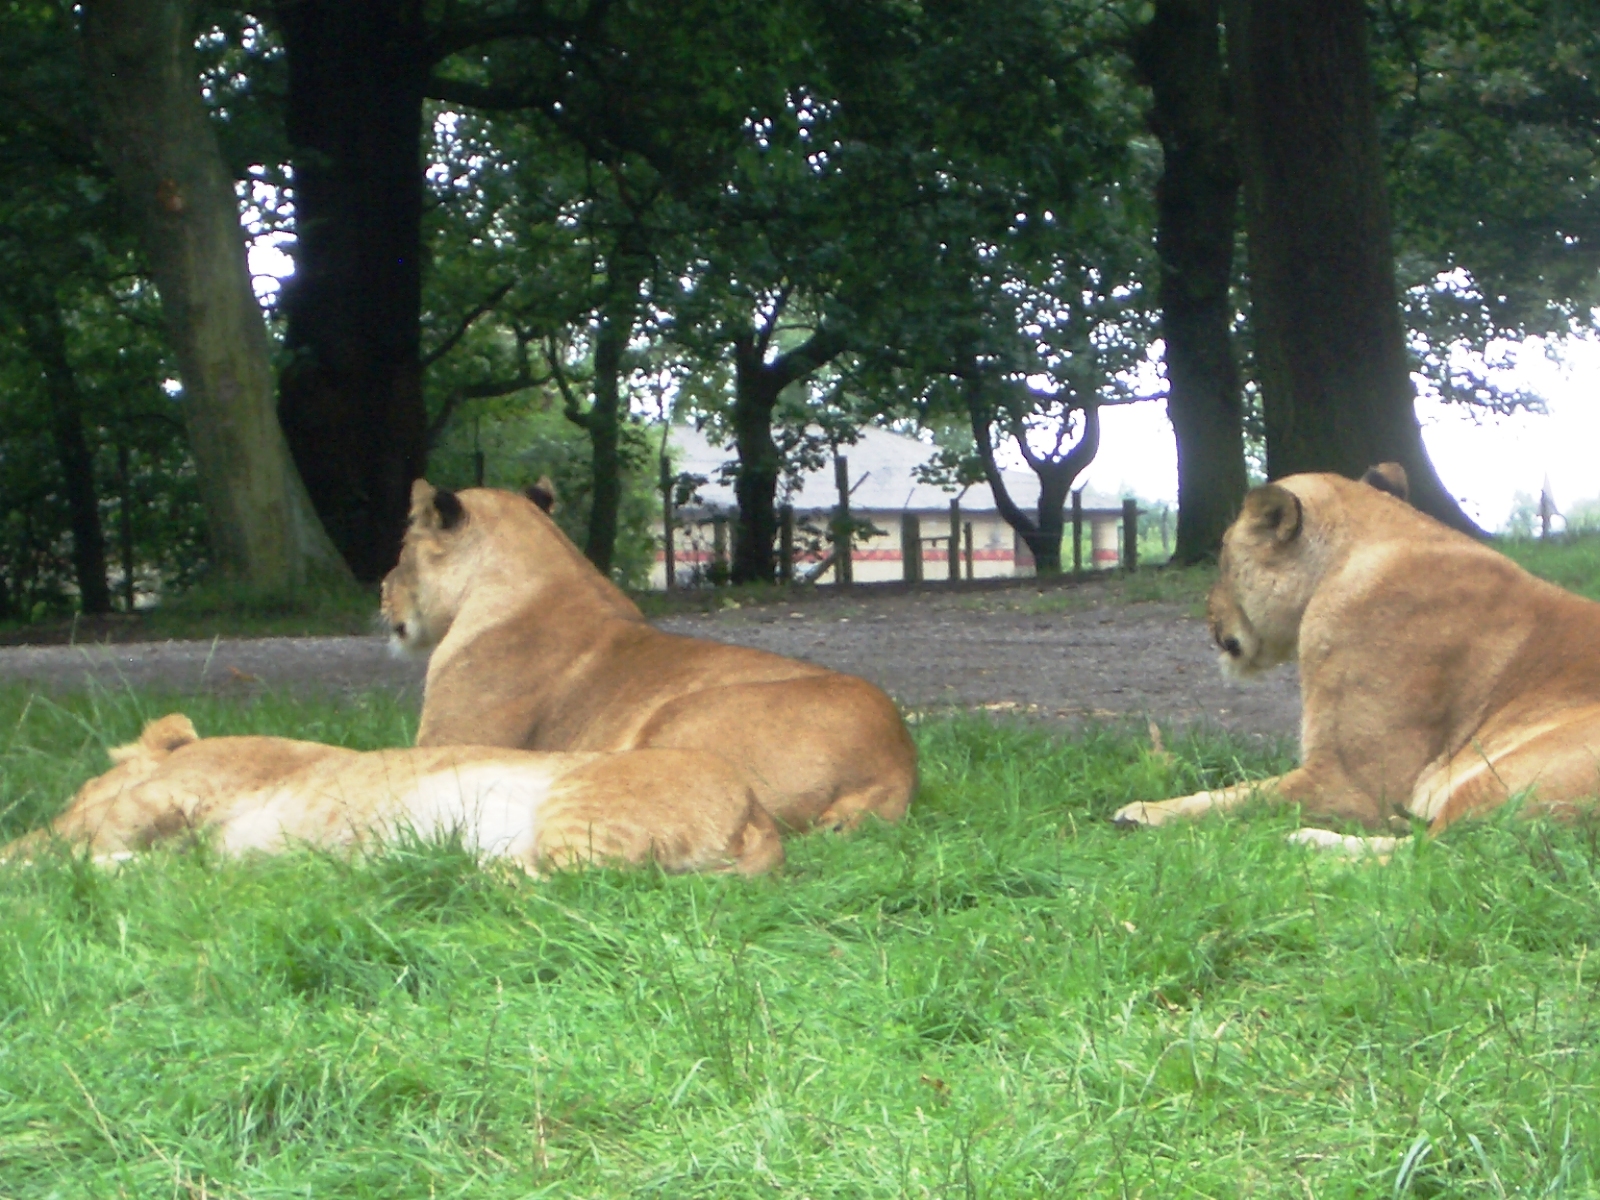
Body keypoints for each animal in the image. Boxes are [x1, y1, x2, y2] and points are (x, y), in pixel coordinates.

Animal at [1113, 463, 1600, 854]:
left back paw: (1310, 846)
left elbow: (1242, 794)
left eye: (1221, 559)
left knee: (1436, 858)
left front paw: (1145, 812)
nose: (1206, 612)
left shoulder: (1352, 781)